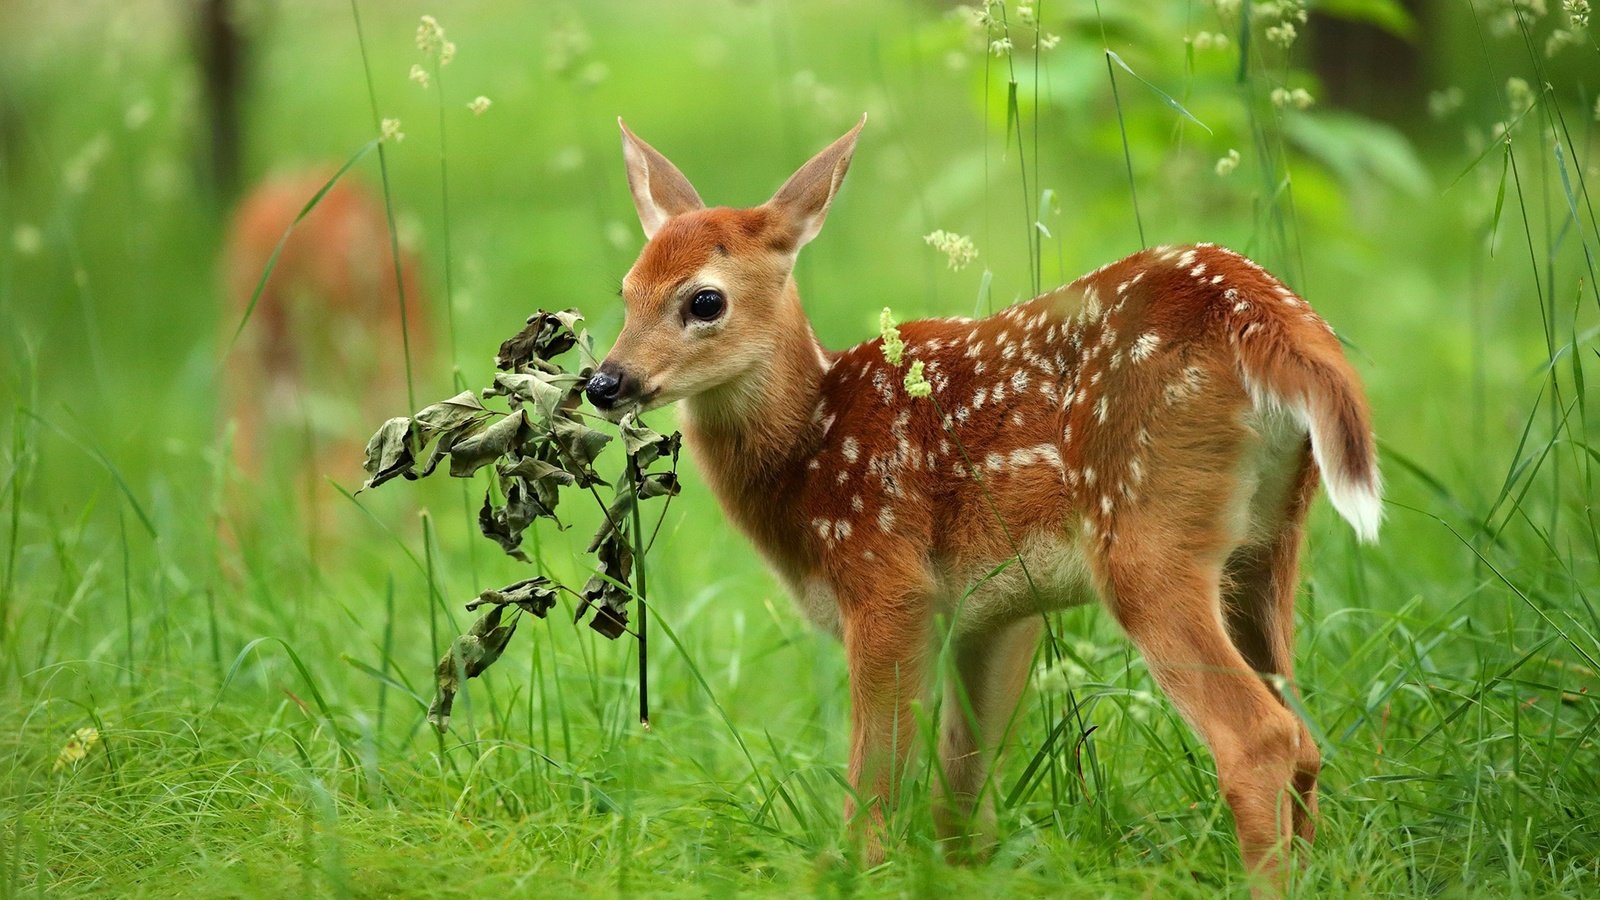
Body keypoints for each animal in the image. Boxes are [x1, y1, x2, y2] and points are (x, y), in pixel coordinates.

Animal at [585, 115, 1376, 883]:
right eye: (625, 291)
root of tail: (1264, 315)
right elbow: (961, 794)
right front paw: (963, 871)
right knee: (1305, 734)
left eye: (704, 300)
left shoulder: (888, 578)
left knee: (1260, 736)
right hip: (1268, 542)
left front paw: (861, 871)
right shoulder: (993, 611)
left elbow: (877, 785)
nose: (605, 382)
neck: (808, 451)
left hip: (1144, 531)